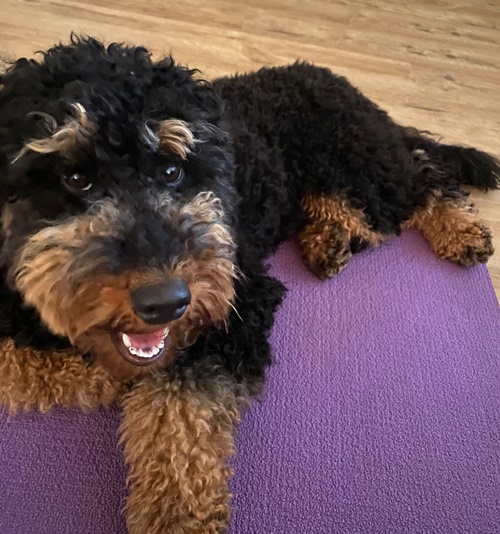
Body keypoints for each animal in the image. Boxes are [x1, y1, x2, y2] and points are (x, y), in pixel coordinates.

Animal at [0, 36, 498, 533]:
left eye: (172, 171)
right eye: (75, 178)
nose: (165, 302)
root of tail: (345, 87)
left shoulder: (241, 302)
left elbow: (179, 417)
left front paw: (177, 515)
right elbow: (24, 361)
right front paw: (97, 374)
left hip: (360, 163)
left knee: (423, 177)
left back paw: (460, 230)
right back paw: (329, 240)